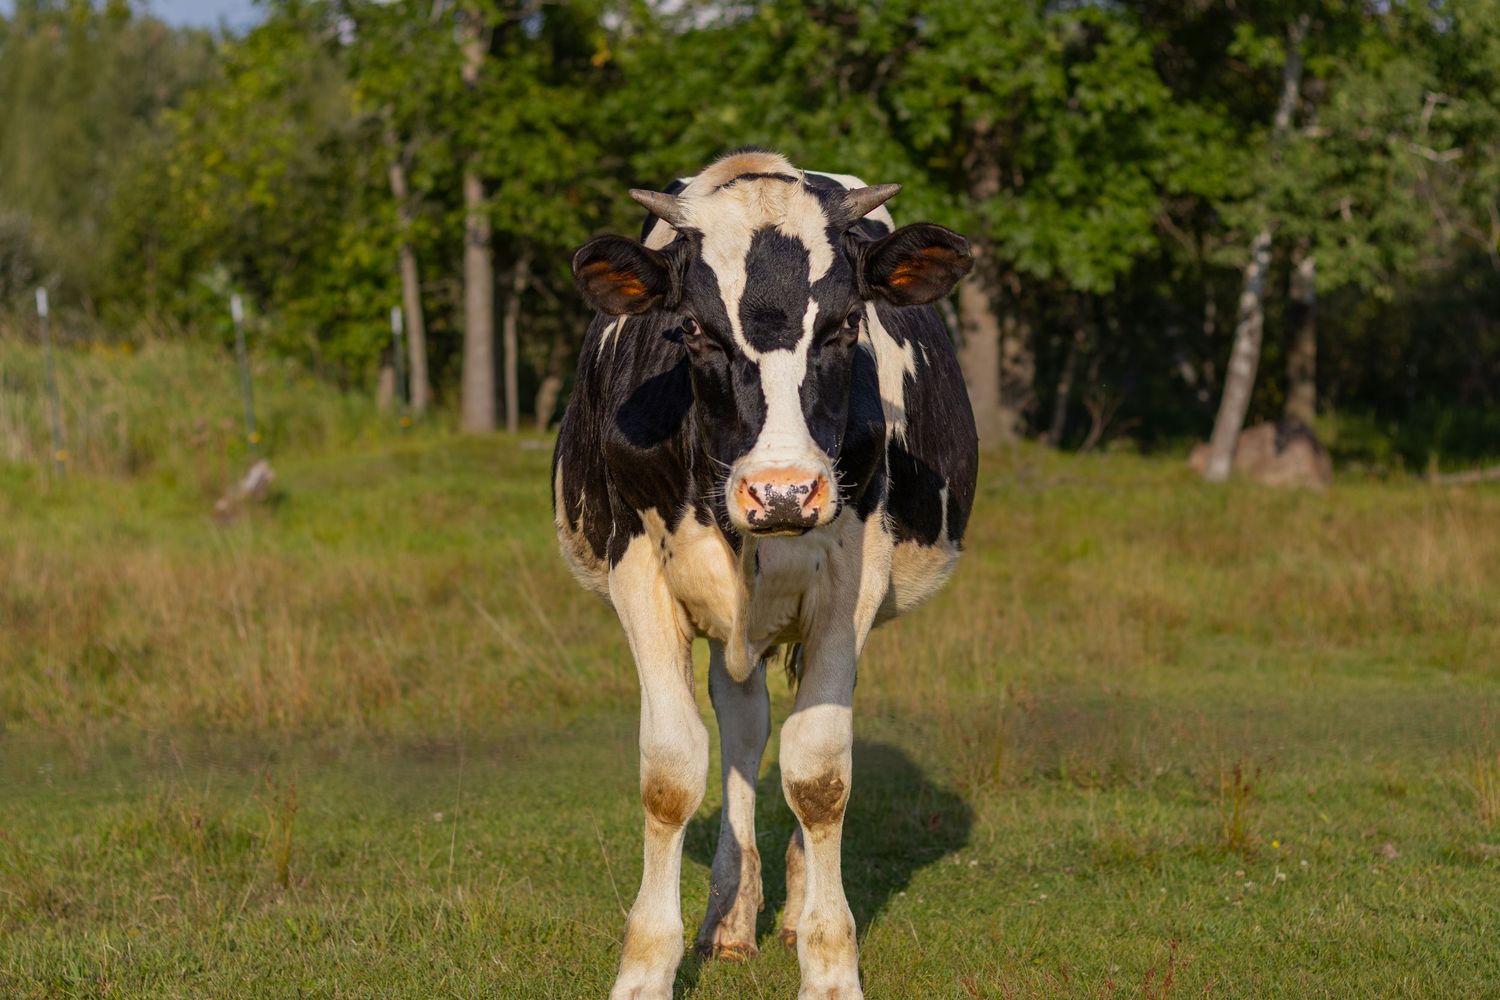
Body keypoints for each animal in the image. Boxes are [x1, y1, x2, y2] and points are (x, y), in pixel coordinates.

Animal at [552, 148, 978, 999]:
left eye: (847, 324)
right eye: (691, 329)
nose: (782, 490)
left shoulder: (852, 581)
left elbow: (819, 775)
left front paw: (830, 965)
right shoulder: (636, 572)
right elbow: (673, 771)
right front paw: (646, 968)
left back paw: (791, 905)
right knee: (744, 727)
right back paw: (732, 914)